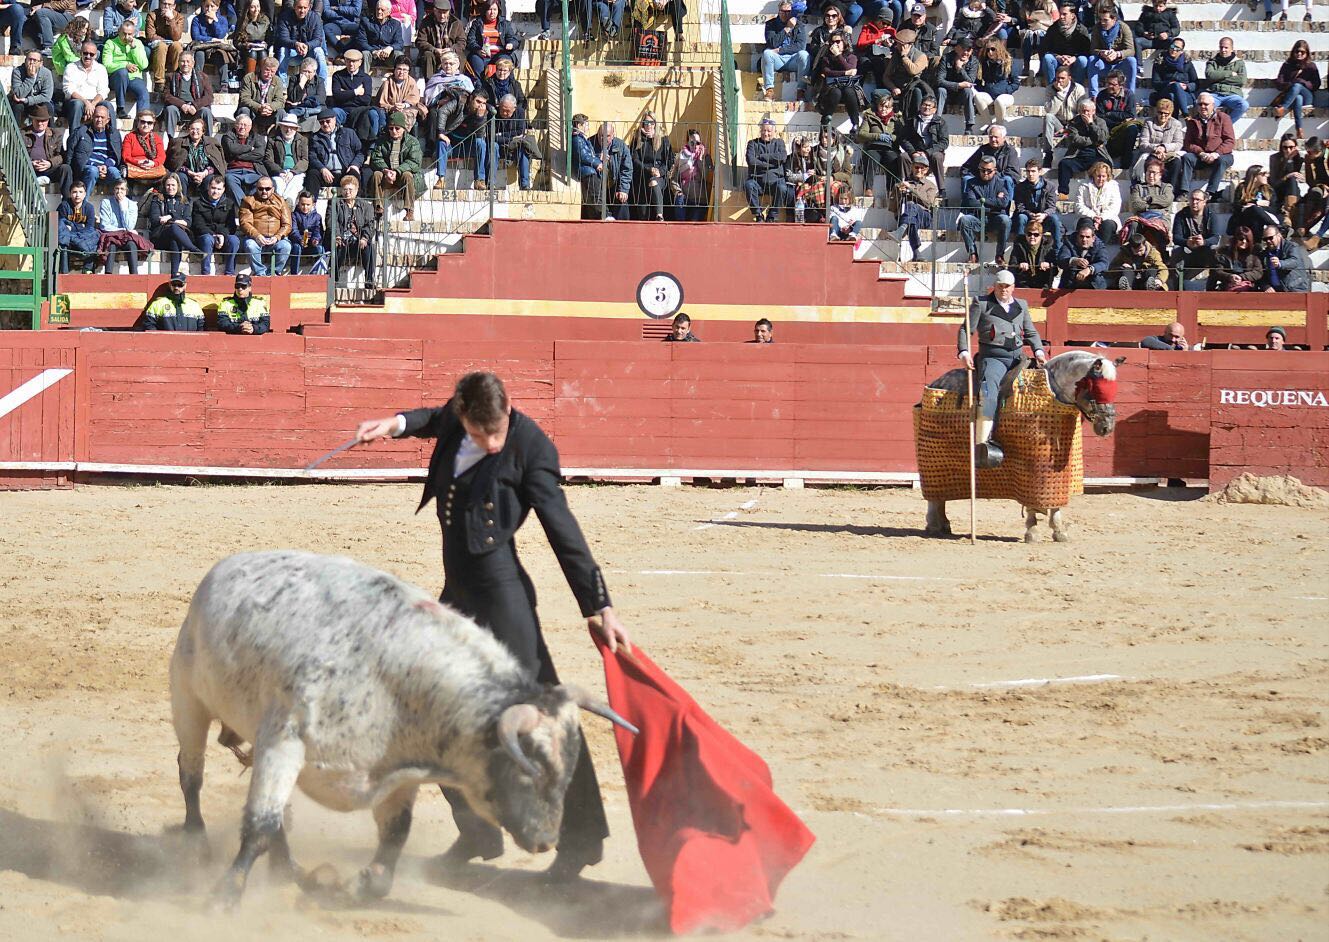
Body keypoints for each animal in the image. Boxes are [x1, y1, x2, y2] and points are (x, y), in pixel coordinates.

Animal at [169, 550, 637, 909]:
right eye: (527, 772)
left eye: (569, 772)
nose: (545, 840)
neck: (394, 675)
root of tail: (226, 566)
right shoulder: (283, 740)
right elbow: (259, 824)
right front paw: (224, 897)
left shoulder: (397, 775)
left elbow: (394, 836)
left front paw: (358, 886)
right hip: (188, 699)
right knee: (191, 774)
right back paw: (196, 844)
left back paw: (290, 871)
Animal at [920, 351, 1125, 543]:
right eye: (1097, 390)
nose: (1107, 427)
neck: (1052, 392)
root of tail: (937, 382)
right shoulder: (1033, 467)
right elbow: (1032, 503)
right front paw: (1032, 531)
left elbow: (1055, 498)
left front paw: (1059, 531)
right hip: (934, 455)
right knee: (933, 494)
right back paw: (934, 524)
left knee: (941, 495)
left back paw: (944, 524)